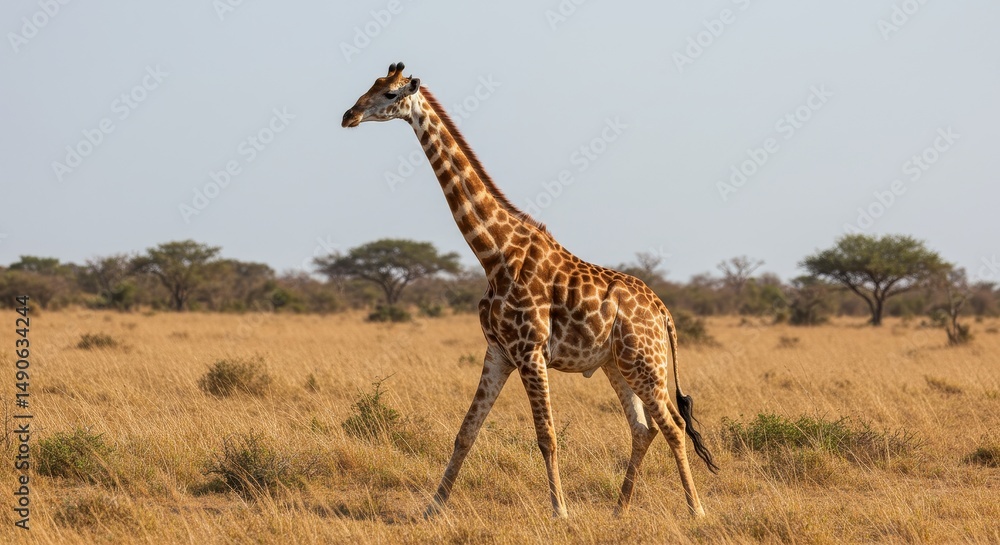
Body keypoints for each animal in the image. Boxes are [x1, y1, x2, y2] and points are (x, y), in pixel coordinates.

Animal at [342, 62, 718, 518]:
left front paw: (560, 512)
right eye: (373, 85)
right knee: (643, 428)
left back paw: (695, 511)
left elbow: (547, 437)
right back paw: (619, 510)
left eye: (390, 93)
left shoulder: (530, 351)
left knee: (673, 424)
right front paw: (433, 509)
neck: (495, 253)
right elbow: (465, 432)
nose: (348, 115)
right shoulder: (498, 352)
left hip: (645, 363)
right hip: (616, 364)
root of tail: (663, 312)